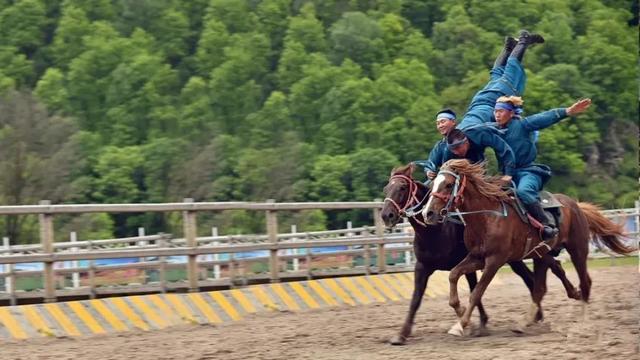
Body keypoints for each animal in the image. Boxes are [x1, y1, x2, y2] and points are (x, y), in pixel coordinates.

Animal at [382, 163, 584, 344]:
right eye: (386, 188)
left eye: (402, 187)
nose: (386, 215)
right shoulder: (425, 266)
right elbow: (418, 298)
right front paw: (401, 334)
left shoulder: (491, 261)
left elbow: (475, 291)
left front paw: (469, 324)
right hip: (529, 255)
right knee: (546, 273)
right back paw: (543, 311)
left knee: (537, 277)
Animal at [420, 159, 636, 336]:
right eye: (434, 183)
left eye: (448, 184)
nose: (427, 213)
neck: (488, 217)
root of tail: (576, 206)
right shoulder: (477, 258)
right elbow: (453, 275)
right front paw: (460, 311)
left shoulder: (494, 261)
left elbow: (477, 292)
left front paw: (460, 324)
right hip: (541, 254)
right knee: (541, 287)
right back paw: (525, 322)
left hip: (578, 250)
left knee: (585, 283)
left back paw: (582, 323)